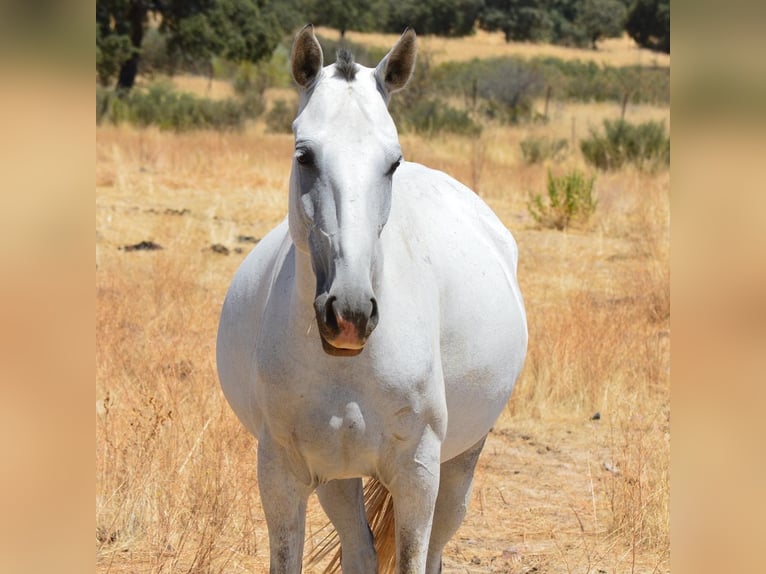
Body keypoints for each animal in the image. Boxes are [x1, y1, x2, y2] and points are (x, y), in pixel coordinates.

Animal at [218, 24, 528, 572]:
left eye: (393, 162)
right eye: (304, 154)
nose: (350, 315)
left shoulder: (418, 474)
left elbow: (413, 558)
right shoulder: (281, 473)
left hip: (460, 462)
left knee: (437, 547)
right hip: (338, 477)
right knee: (359, 548)